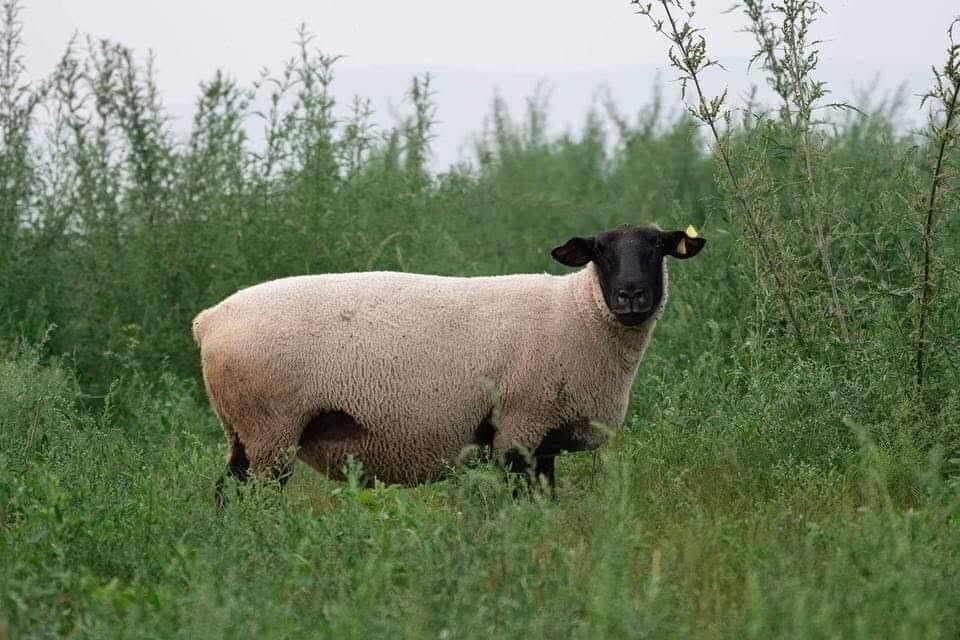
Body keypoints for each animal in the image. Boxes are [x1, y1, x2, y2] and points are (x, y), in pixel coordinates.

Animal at [193, 224, 705, 503]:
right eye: (600, 251)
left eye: (657, 247)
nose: (631, 295)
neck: (578, 312)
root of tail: (210, 320)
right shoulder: (520, 426)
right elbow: (525, 502)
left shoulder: (542, 441)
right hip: (269, 427)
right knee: (260, 498)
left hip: (241, 431)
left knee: (226, 493)